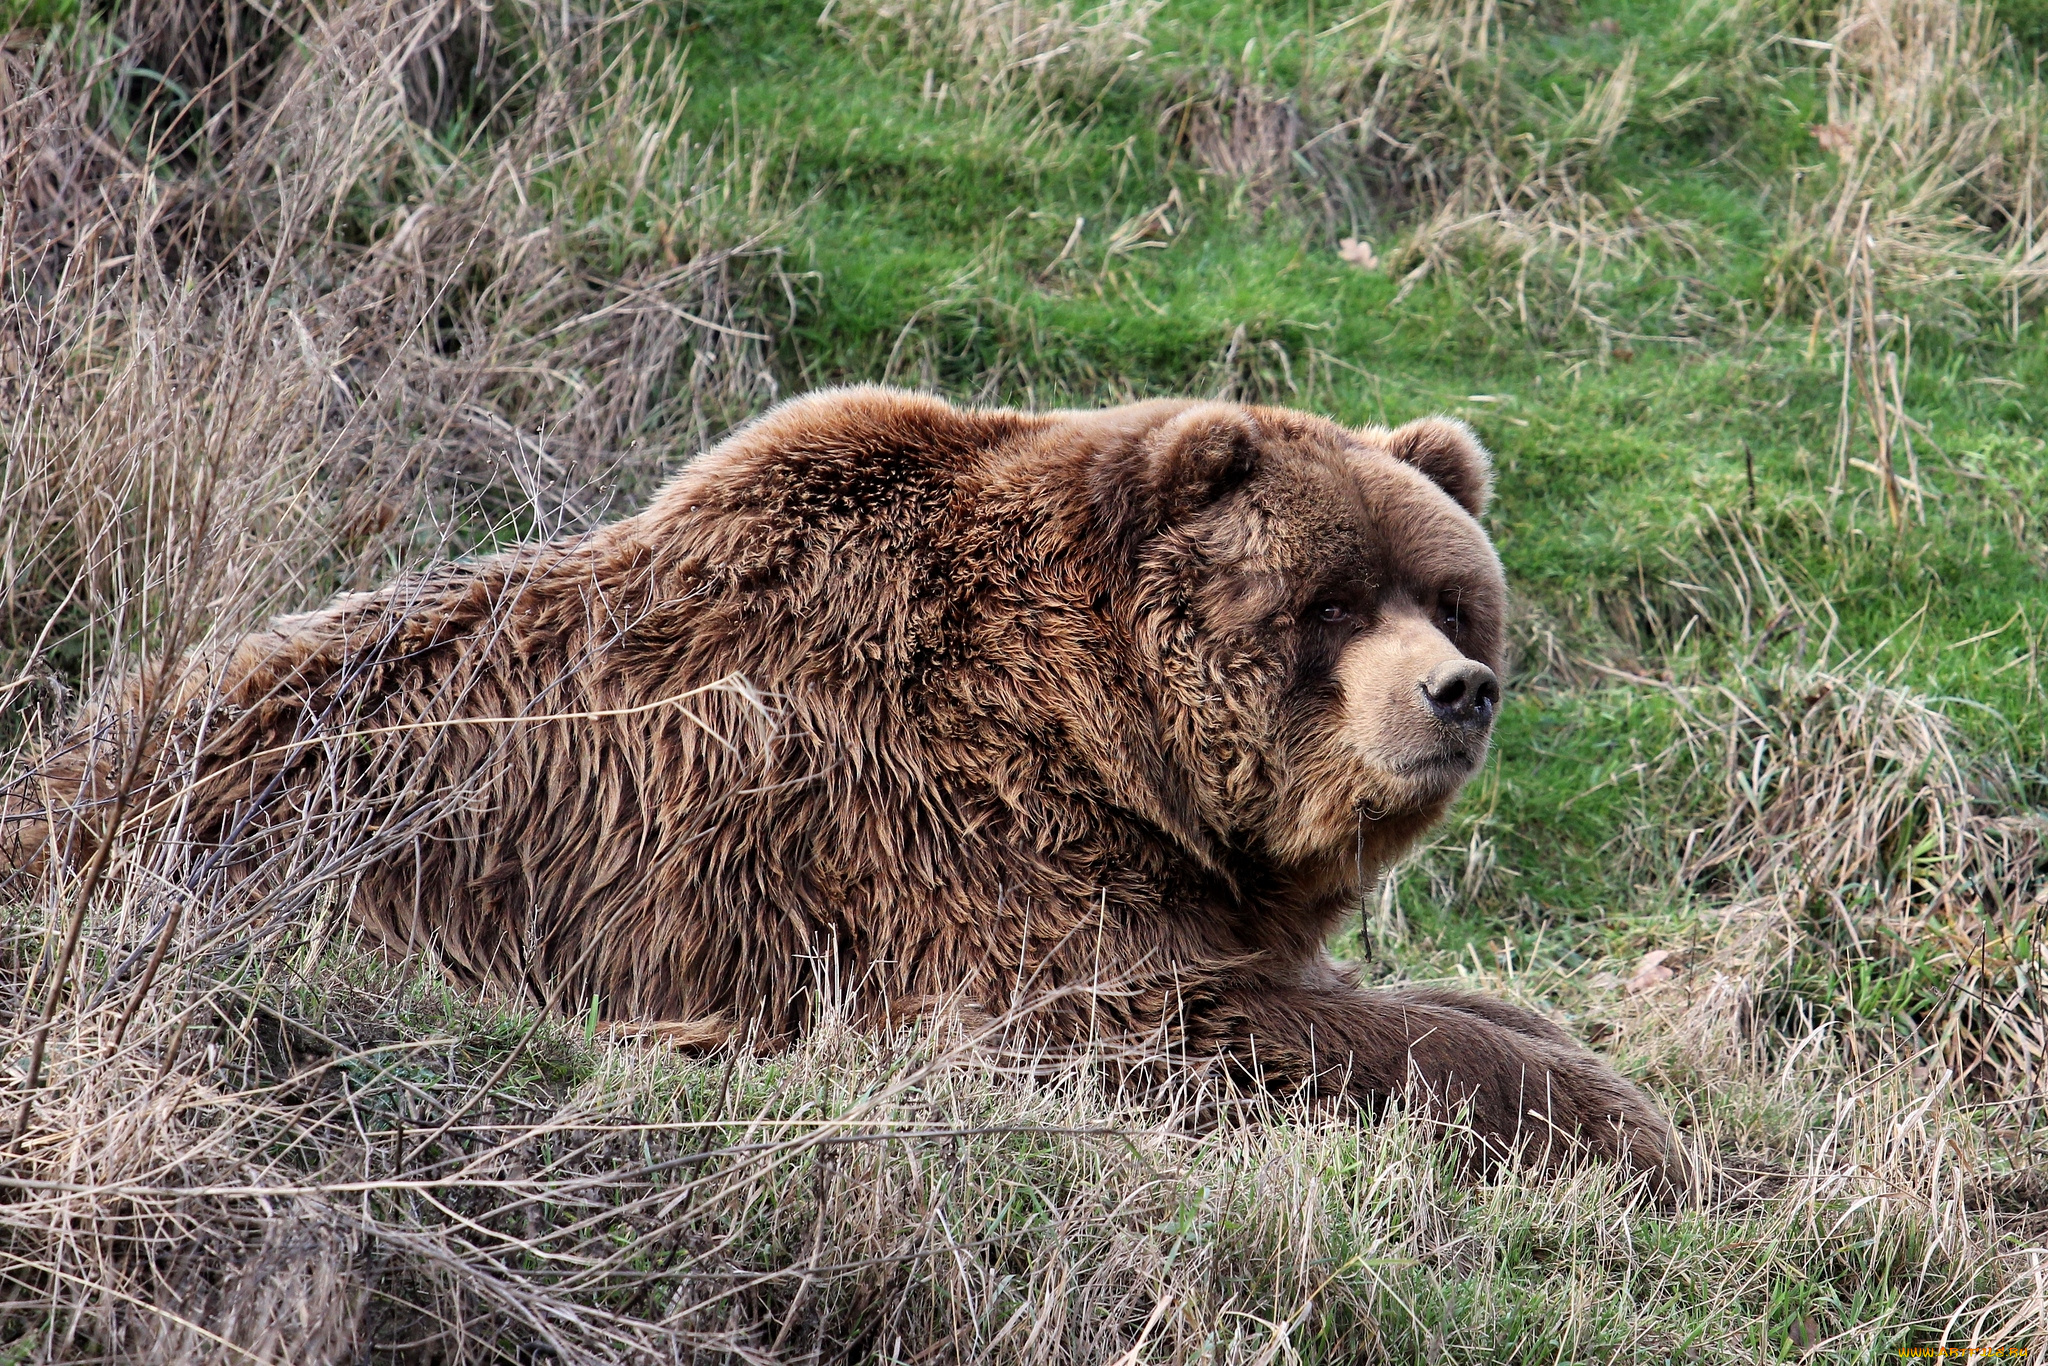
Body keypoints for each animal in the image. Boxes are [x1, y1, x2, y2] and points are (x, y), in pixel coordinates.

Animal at [8, 387, 1679, 1187]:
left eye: (1452, 596)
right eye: (1328, 601)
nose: (1457, 692)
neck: (1104, 730)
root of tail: (61, 772)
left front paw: (1567, 1056)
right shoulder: (951, 844)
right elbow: (1164, 1026)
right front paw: (1631, 1124)